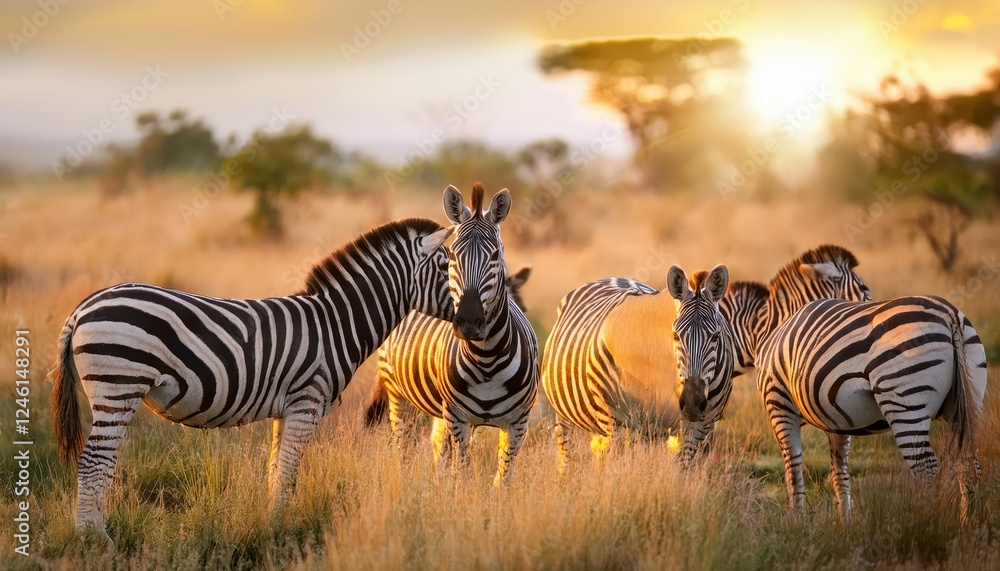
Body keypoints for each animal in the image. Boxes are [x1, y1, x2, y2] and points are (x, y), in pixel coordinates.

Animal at [49, 218, 455, 545]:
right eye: (447, 267)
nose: (471, 318)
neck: (335, 324)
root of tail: (83, 307)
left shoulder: (286, 409)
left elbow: (276, 471)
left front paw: (270, 524)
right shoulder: (307, 403)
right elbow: (288, 473)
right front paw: (279, 531)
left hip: (114, 389)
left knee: (103, 461)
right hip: (119, 384)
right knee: (94, 460)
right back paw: (94, 539)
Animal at [756, 294, 986, 522]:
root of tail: (948, 314)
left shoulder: (779, 405)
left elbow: (793, 470)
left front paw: (797, 521)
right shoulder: (836, 419)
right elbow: (839, 472)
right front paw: (844, 524)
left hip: (906, 403)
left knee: (925, 469)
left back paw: (924, 524)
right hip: (964, 404)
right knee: (967, 465)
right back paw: (968, 523)